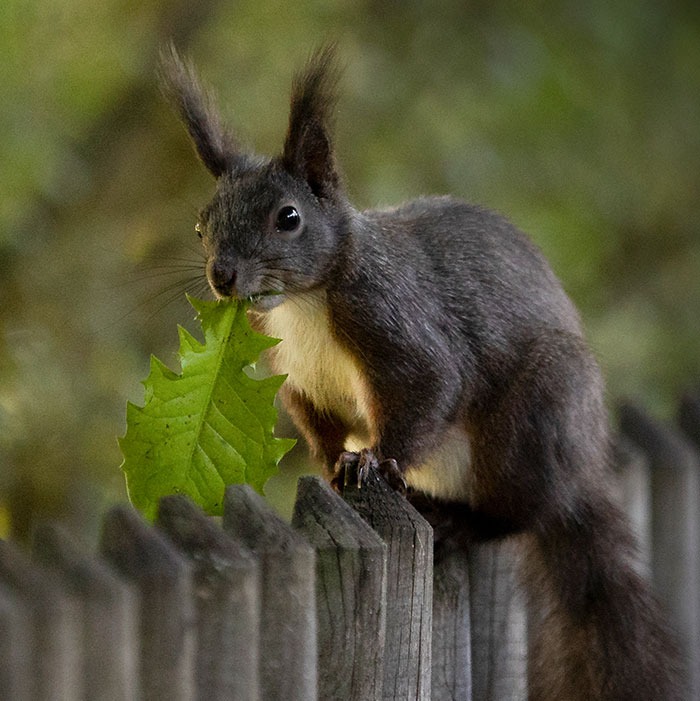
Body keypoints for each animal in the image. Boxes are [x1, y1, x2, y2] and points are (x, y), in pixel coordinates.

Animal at [160, 45, 684, 700]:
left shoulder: (400, 323)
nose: (222, 276)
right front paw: (332, 464)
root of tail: (580, 474)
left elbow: (429, 387)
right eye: (200, 223)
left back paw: (462, 519)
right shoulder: (299, 377)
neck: (304, 304)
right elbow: (320, 421)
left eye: (289, 217)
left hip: (532, 420)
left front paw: (372, 461)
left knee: (522, 513)